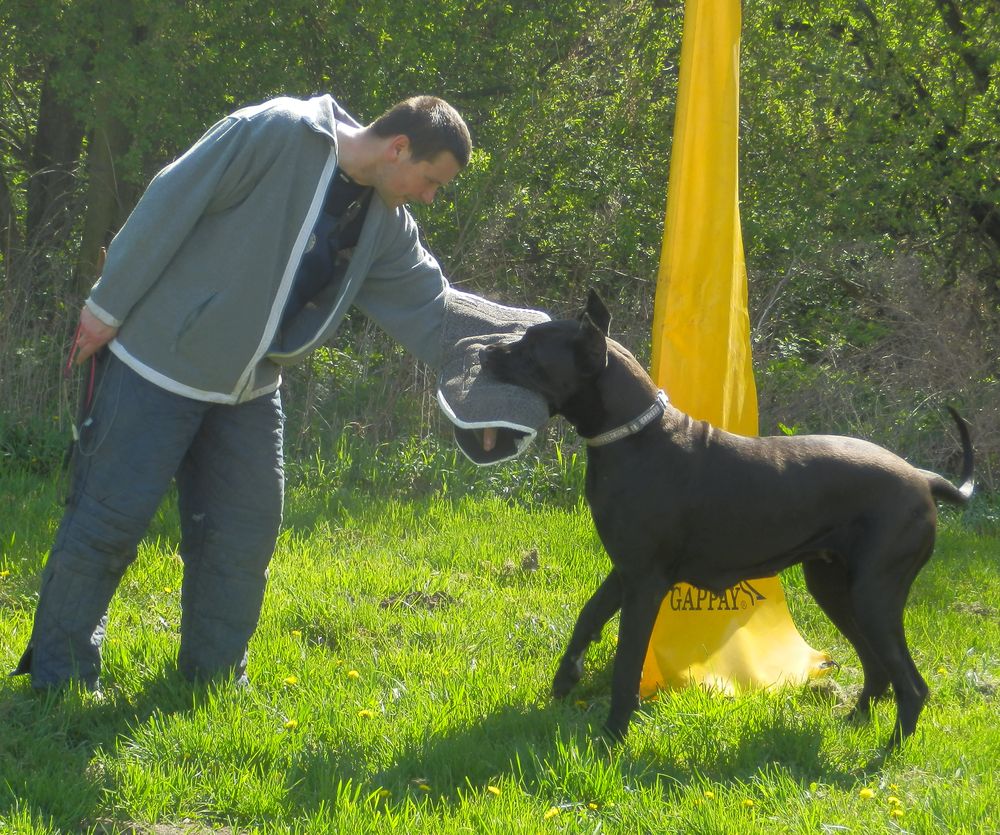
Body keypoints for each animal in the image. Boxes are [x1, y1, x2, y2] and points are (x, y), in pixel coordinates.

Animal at [481, 290, 974, 750]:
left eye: (530, 349)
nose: (485, 351)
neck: (635, 437)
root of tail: (924, 479)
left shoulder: (645, 582)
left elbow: (625, 666)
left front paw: (613, 736)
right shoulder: (625, 571)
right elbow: (587, 617)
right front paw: (566, 679)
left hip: (874, 595)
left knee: (911, 684)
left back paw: (884, 755)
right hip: (834, 588)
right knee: (878, 669)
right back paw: (853, 723)